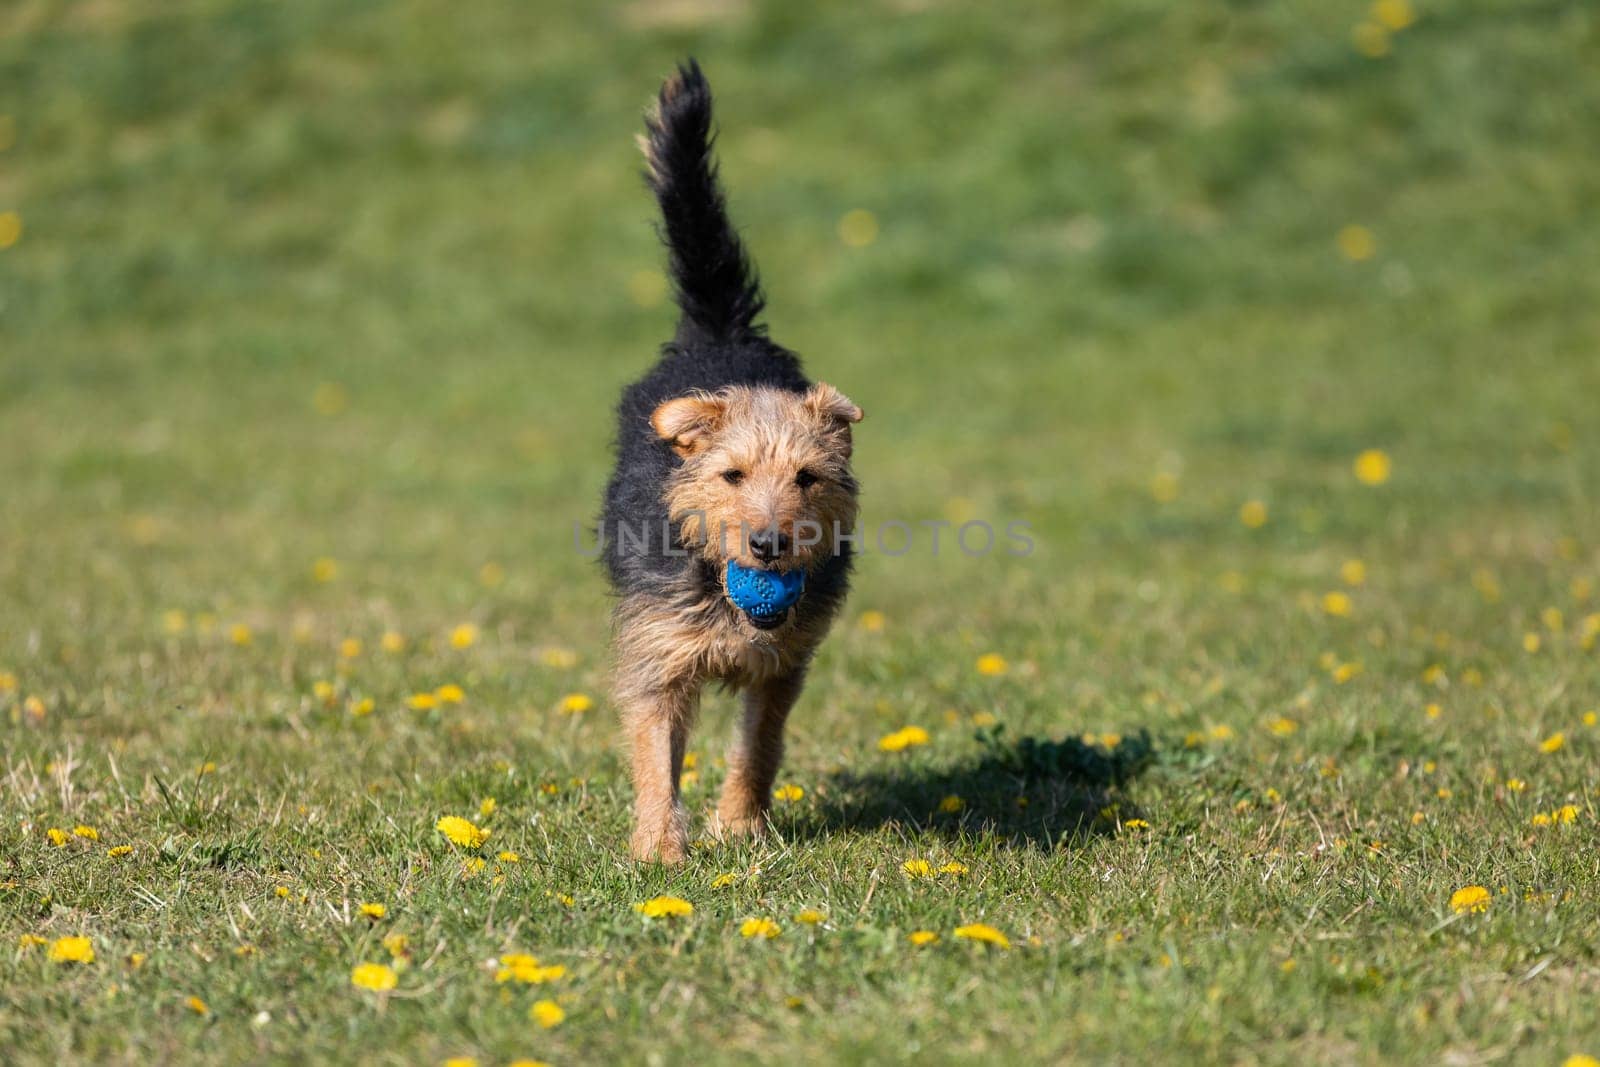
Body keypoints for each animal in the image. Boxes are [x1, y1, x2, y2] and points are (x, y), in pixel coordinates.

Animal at [601, 58, 864, 863]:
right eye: (732, 475)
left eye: (807, 478)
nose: (770, 543)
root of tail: (722, 329)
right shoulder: (657, 652)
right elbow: (656, 751)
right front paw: (660, 848)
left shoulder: (784, 665)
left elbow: (758, 744)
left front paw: (741, 826)